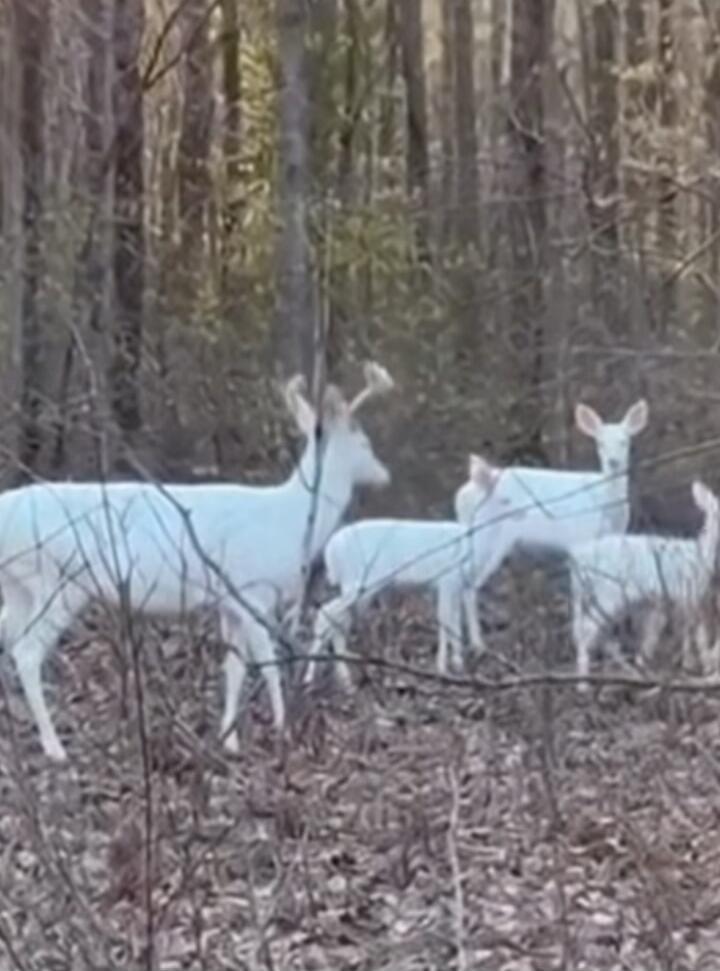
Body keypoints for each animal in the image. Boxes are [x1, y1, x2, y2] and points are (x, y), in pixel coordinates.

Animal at [0, 362, 393, 761]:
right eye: (364, 443)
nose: (385, 474)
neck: (290, 518)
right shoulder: (252, 591)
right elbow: (266, 663)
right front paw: (283, 727)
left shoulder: (230, 602)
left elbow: (234, 668)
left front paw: (229, 740)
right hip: (56, 580)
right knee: (27, 650)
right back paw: (54, 747)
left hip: (20, 585)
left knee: (8, 635)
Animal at [303, 455, 527, 687]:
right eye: (506, 499)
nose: (523, 512)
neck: (472, 545)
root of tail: (331, 550)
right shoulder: (447, 579)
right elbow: (445, 621)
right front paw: (442, 668)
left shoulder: (456, 585)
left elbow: (455, 622)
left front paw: (457, 665)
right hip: (358, 581)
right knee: (325, 613)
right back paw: (311, 676)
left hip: (356, 585)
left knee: (336, 619)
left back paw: (343, 679)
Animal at [454, 400, 648, 648]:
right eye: (600, 443)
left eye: (625, 441)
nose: (613, 462)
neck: (605, 505)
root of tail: (465, 491)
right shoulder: (580, 540)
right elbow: (580, 592)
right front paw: (579, 636)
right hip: (486, 535)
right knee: (468, 585)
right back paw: (478, 644)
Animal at [569, 480, 720, 686]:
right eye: (715, 513)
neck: (700, 555)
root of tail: (577, 561)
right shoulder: (689, 594)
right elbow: (696, 631)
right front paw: (701, 664)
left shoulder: (670, 600)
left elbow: (669, 629)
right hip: (607, 593)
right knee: (588, 630)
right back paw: (583, 683)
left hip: (593, 597)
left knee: (592, 633)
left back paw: (627, 670)